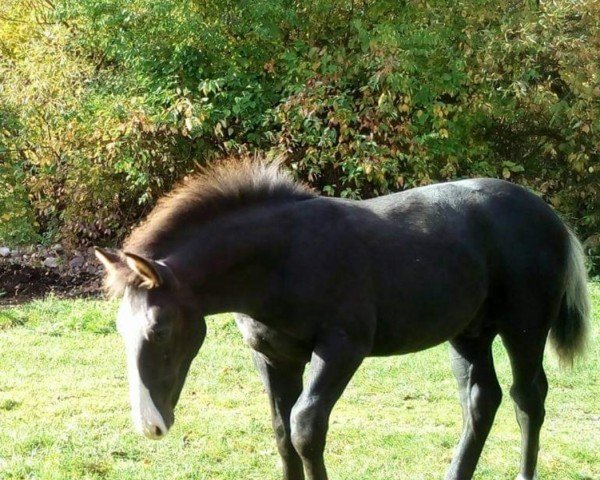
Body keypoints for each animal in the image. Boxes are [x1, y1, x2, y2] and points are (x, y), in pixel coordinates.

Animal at [96, 159, 588, 478]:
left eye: (159, 329)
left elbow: (305, 428)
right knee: (482, 400)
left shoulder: (342, 347)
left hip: (524, 327)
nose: (151, 425)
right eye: (119, 329)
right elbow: (281, 432)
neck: (283, 258)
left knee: (528, 397)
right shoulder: (272, 356)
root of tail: (551, 216)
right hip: (469, 332)